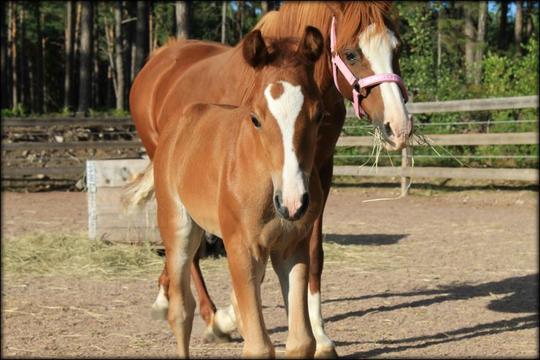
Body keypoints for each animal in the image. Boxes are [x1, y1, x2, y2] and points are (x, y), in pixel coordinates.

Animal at [153, 26, 324, 356]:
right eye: (255, 118)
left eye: (319, 115)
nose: (293, 203)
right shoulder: (241, 247)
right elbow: (258, 347)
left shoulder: (292, 248)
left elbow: (301, 342)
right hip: (179, 228)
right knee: (181, 309)